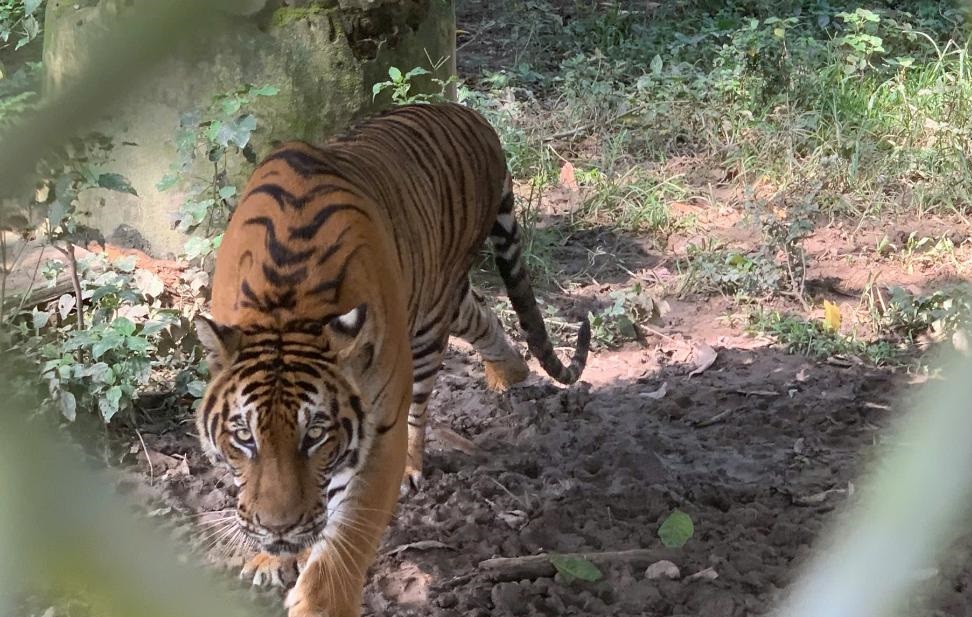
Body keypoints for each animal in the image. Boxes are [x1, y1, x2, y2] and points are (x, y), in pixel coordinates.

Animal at [189, 102, 584, 616]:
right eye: (243, 437)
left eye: (315, 435)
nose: (279, 528)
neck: (285, 306)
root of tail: (474, 117)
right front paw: (271, 557)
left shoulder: (378, 435)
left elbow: (344, 541)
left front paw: (319, 601)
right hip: (442, 296)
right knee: (480, 313)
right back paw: (508, 372)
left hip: (427, 324)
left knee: (424, 399)